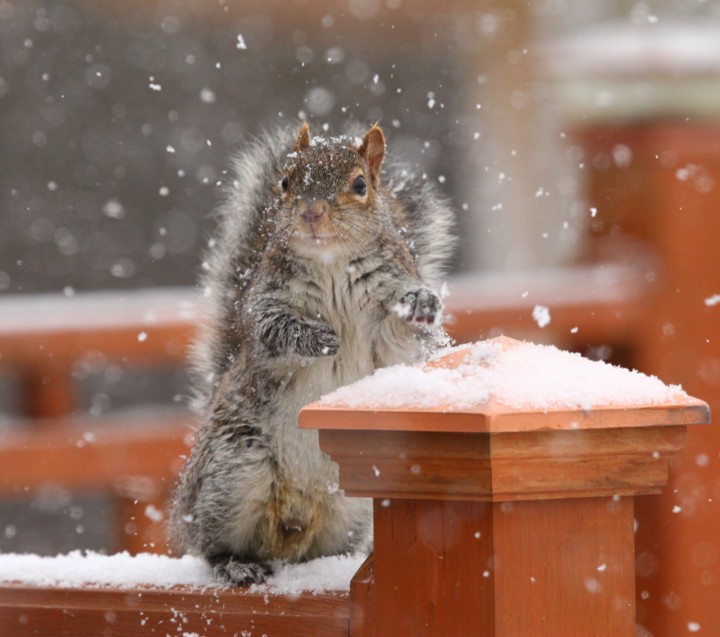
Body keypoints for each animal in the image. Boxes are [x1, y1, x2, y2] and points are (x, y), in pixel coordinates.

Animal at [169, 122, 455, 585]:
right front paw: (316, 339)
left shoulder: (389, 305)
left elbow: (400, 334)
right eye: (285, 182)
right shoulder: (263, 304)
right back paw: (236, 565)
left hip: (354, 501)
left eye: (360, 185)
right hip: (232, 470)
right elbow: (272, 330)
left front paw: (423, 303)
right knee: (208, 543)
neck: (331, 260)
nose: (311, 212)